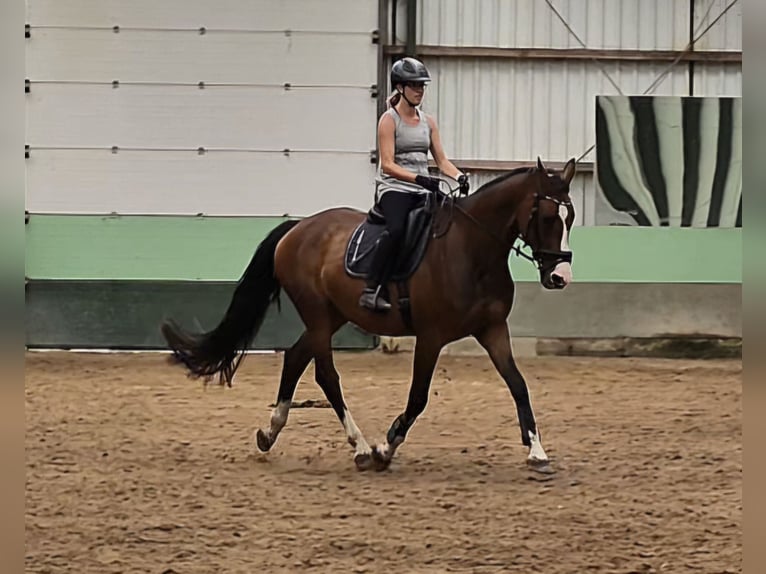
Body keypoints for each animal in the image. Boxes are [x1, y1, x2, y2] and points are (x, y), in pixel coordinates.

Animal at [161, 157, 577, 473]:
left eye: (570, 217)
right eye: (547, 217)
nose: (560, 277)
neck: (472, 251)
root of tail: (298, 228)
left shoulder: (492, 329)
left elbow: (518, 384)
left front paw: (537, 452)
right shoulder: (431, 336)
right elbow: (418, 397)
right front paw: (385, 449)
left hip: (334, 315)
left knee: (295, 358)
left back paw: (270, 432)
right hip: (318, 314)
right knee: (325, 375)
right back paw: (360, 447)